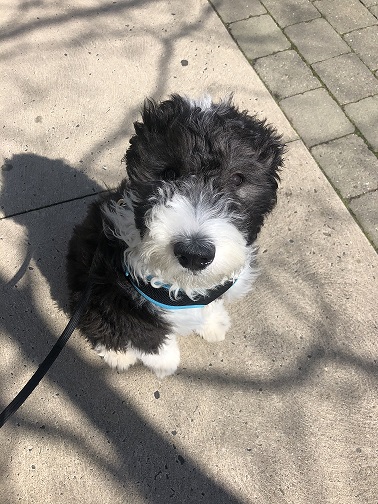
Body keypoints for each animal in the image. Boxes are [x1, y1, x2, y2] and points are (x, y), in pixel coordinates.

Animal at [66, 94, 284, 378]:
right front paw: (164, 361)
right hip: (90, 283)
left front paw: (212, 323)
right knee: (96, 320)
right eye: (168, 174)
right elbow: (147, 335)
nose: (194, 254)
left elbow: (210, 303)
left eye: (238, 179)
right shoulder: (123, 297)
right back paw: (118, 353)